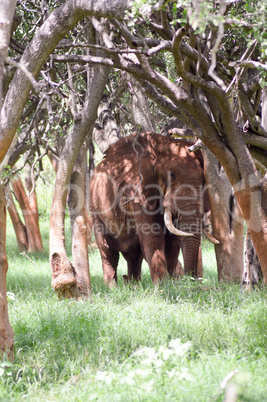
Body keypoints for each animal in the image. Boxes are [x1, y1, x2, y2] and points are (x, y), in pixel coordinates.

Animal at [90, 132, 220, 286]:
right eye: (172, 176)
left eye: (203, 180)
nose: (192, 280)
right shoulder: (138, 190)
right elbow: (152, 235)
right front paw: (163, 285)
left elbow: (173, 240)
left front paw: (173, 284)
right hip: (95, 210)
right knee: (108, 252)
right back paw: (113, 288)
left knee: (135, 255)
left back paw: (134, 286)